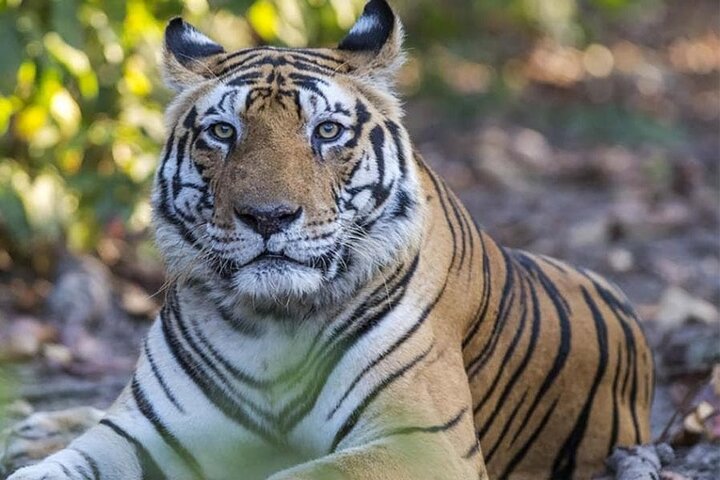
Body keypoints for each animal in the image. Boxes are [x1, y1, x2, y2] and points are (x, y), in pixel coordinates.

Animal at [8, 1, 654, 479]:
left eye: (326, 131)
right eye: (223, 131)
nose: (268, 216)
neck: (270, 324)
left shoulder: (421, 444)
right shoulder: (141, 431)